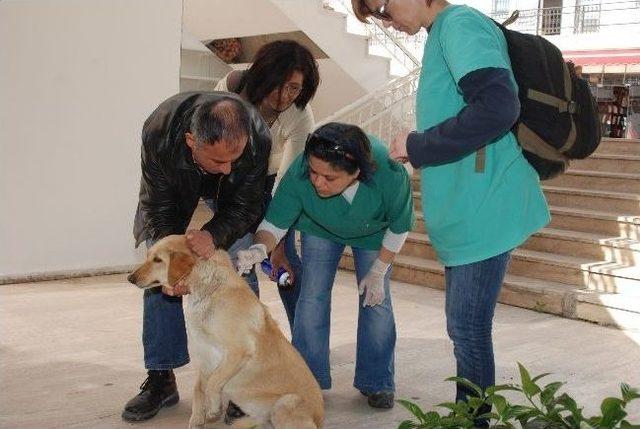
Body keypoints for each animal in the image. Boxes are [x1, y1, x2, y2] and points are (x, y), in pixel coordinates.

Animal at [127, 234, 322, 428]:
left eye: (158, 260)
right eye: (148, 257)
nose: (130, 278)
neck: (209, 290)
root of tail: (319, 417)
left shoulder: (238, 351)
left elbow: (213, 382)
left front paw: (213, 408)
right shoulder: (204, 355)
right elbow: (198, 389)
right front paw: (197, 418)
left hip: (285, 404)